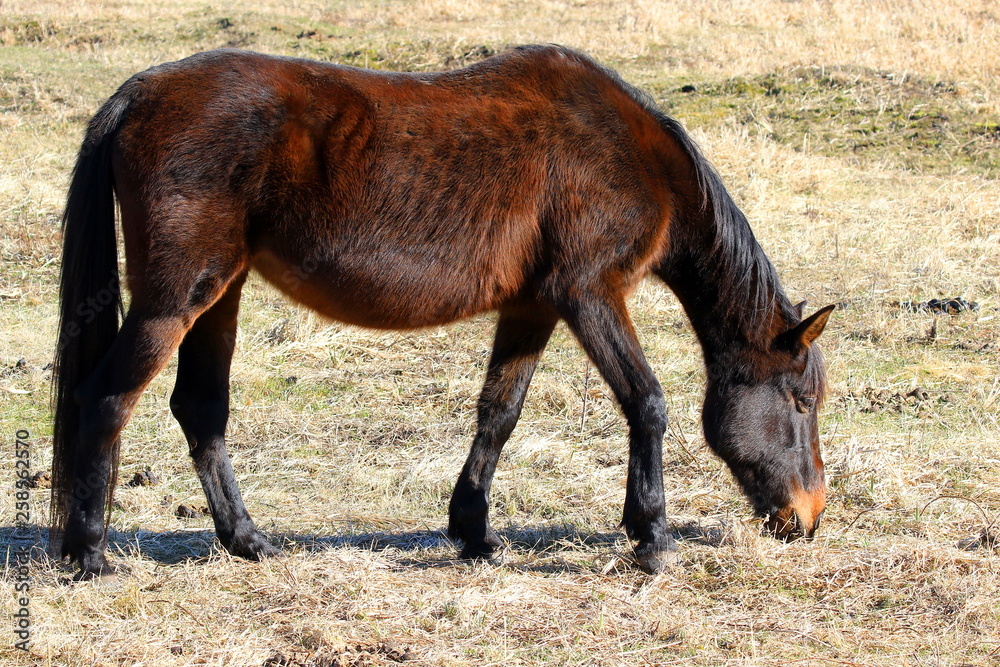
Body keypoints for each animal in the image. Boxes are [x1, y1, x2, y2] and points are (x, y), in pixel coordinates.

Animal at [52, 44, 833, 580]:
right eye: (800, 401)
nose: (809, 517)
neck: (631, 152)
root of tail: (142, 92)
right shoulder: (590, 294)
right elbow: (647, 403)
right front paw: (652, 537)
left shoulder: (532, 306)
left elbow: (499, 413)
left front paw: (473, 531)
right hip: (176, 299)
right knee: (107, 398)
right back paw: (89, 554)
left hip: (221, 294)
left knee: (200, 409)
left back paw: (248, 541)